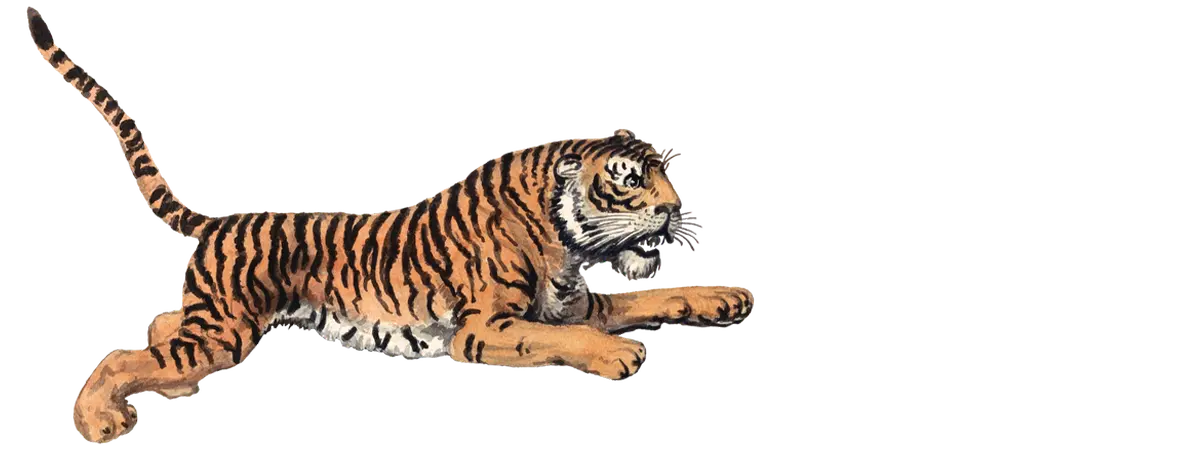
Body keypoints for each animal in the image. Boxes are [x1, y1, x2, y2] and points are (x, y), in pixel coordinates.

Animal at [25, 8, 754, 444]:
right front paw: (618, 354)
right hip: (217, 336)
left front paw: (723, 295)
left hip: (205, 326)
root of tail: (221, 217)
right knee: (120, 356)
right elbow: (575, 335)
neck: (565, 240)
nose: (676, 208)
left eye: (666, 175)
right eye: (630, 182)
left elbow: (641, 293)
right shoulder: (487, 329)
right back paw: (98, 420)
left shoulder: (572, 300)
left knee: (146, 336)